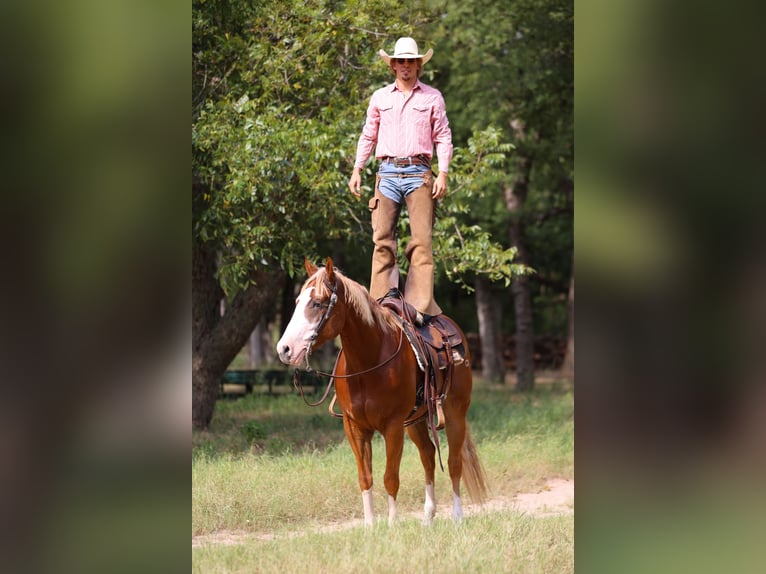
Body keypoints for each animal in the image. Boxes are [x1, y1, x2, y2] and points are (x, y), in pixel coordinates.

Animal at [276, 257, 487, 526]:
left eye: (317, 303)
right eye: (297, 301)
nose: (284, 349)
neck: (368, 361)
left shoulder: (393, 426)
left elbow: (391, 478)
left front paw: (391, 525)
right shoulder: (354, 427)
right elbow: (365, 477)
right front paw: (370, 526)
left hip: (454, 414)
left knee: (453, 461)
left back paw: (457, 516)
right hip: (416, 421)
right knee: (428, 455)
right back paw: (428, 516)